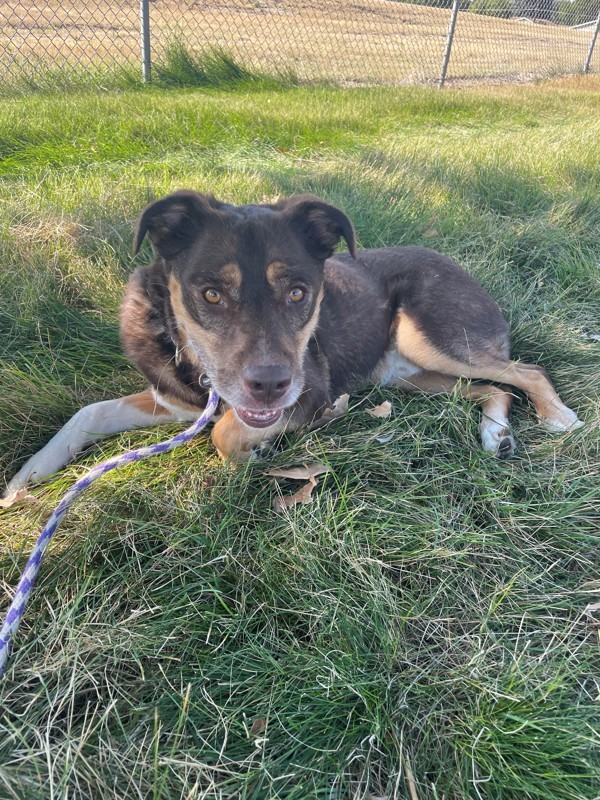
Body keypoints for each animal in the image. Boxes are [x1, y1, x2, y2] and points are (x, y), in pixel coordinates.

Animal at [3, 191, 580, 500]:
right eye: (211, 294)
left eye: (299, 292)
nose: (270, 386)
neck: (197, 367)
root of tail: (460, 267)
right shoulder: (174, 401)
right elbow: (89, 413)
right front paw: (26, 478)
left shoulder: (307, 392)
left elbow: (226, 434)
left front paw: (260, 452)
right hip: (414, 376)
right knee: (492, 388)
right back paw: (494, 433)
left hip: (433, 339)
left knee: (526, 371)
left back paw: (556, 416)